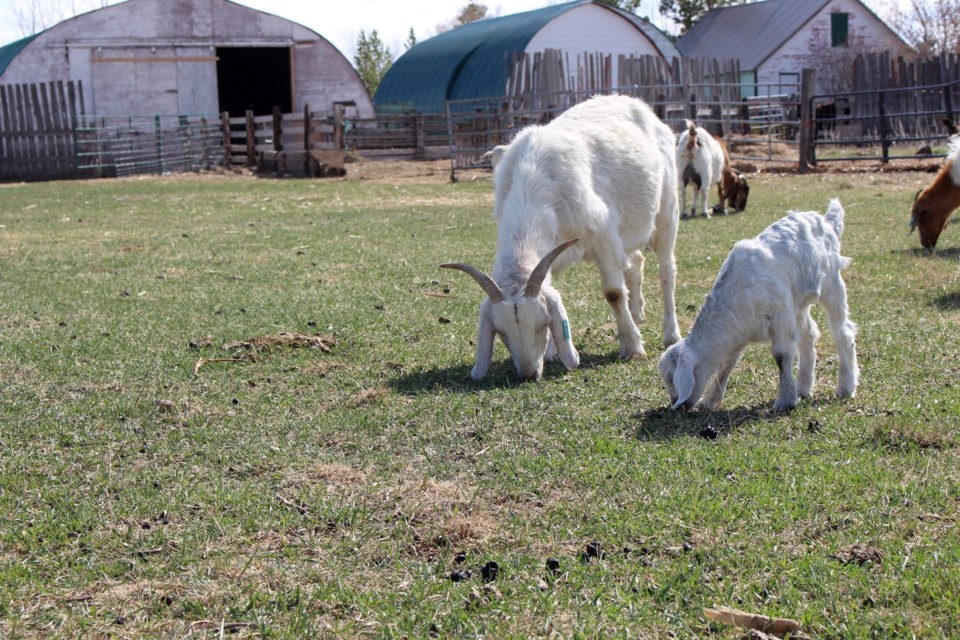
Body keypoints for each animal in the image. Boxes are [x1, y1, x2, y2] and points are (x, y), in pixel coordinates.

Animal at [442, 92, 684, 378]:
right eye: (501, 332)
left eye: (541, 324)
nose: (529, 374)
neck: (533, 180)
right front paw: (551, 354)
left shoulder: (603, 236)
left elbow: (613, 293)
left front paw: (632, 347)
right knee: (635, 262)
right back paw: (636, 315)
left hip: (667, 210)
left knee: (666, 271)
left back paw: (671, 334)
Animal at [660, 198, 856, 412]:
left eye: (672, 379)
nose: (677, 404)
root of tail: (826, 220)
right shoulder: (739, 331)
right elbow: (727, 363)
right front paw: (711, 400)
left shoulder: (779, 317)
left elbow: (781, 355)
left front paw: (785, 400)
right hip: (797, 302)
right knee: (809, 334)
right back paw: (804, 388)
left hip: (831, 284)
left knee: (842, 332)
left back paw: (845, 386)